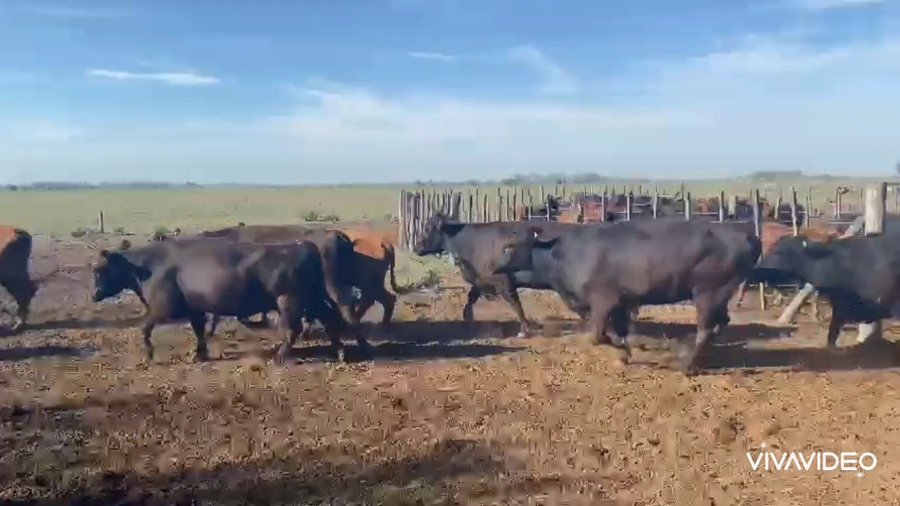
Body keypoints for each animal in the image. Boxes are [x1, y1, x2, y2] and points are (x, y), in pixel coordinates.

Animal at [91, 239, 368, 364]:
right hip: (312, 299)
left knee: (294, 328)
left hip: (289, 300)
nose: (93, 295)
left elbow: (144, 328)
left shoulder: (162, 308)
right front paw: (199, 354)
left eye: (99, 270)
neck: (148, 266)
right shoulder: (196, 309)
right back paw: (340, 352)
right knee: (330, 319)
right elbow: (199, 330)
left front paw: (148, 353)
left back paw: (280, 356)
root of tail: (304, 245)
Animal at [413, 213, 597, 336]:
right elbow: (471, 298)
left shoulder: (502, 281)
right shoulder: (481, 279)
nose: (416, 247)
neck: (469, 241)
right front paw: (467, 318)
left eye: (427, 228)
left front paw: (525, 329)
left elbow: (515, 303)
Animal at [491, 218, 763, 374]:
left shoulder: (603, 301)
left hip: (707, 293)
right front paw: (623, 356)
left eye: (509, 247)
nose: (491, 266)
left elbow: (597, 336)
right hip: (719, 295)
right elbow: (618, 331)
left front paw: (624, 350)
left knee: (706, 329)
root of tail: (747, 235)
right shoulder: (620, 303)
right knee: (720, 324)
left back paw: (686, 366)